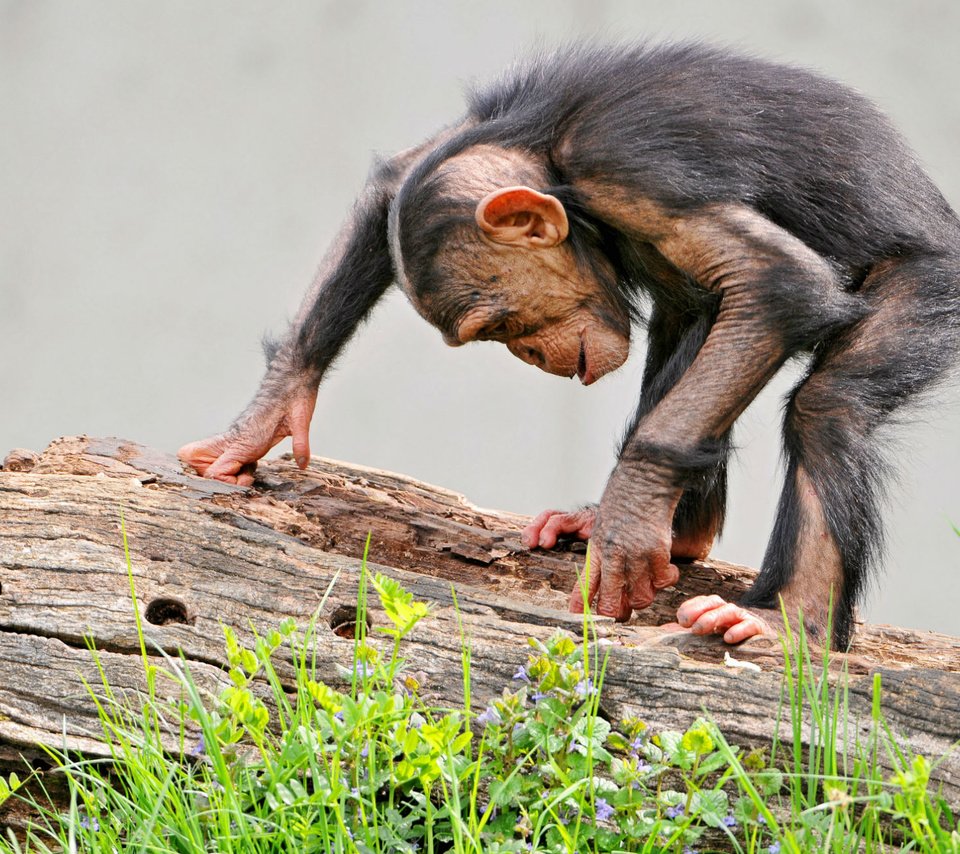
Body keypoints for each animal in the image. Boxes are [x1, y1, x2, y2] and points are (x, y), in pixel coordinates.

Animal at [180, 43, 960, 652]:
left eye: (497, 325)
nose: (528, 353)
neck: (553, 156)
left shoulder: (627, 171)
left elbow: (776, 282)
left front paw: (628, 521)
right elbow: (392, 181)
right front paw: (263, 417)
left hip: (935, 284)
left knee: (827, 407)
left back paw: (785, 622)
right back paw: (682, 533)